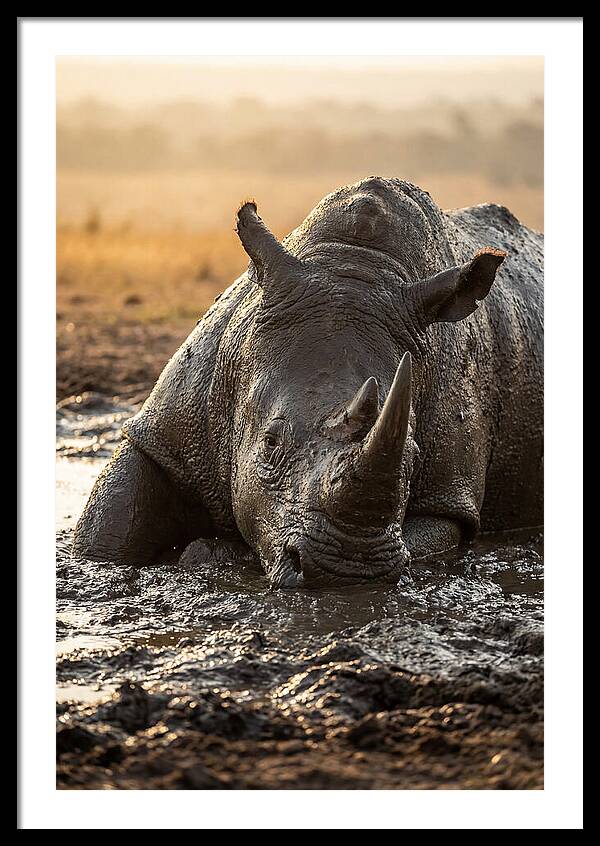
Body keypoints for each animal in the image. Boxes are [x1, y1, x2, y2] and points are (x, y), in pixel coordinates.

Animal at [72, 177, 543, 587]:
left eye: (413, 455)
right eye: (269, 443)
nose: (347, 570)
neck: (355, 264)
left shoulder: (450, 496)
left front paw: (211, 553)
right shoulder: (166, 430)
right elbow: (108, 528)